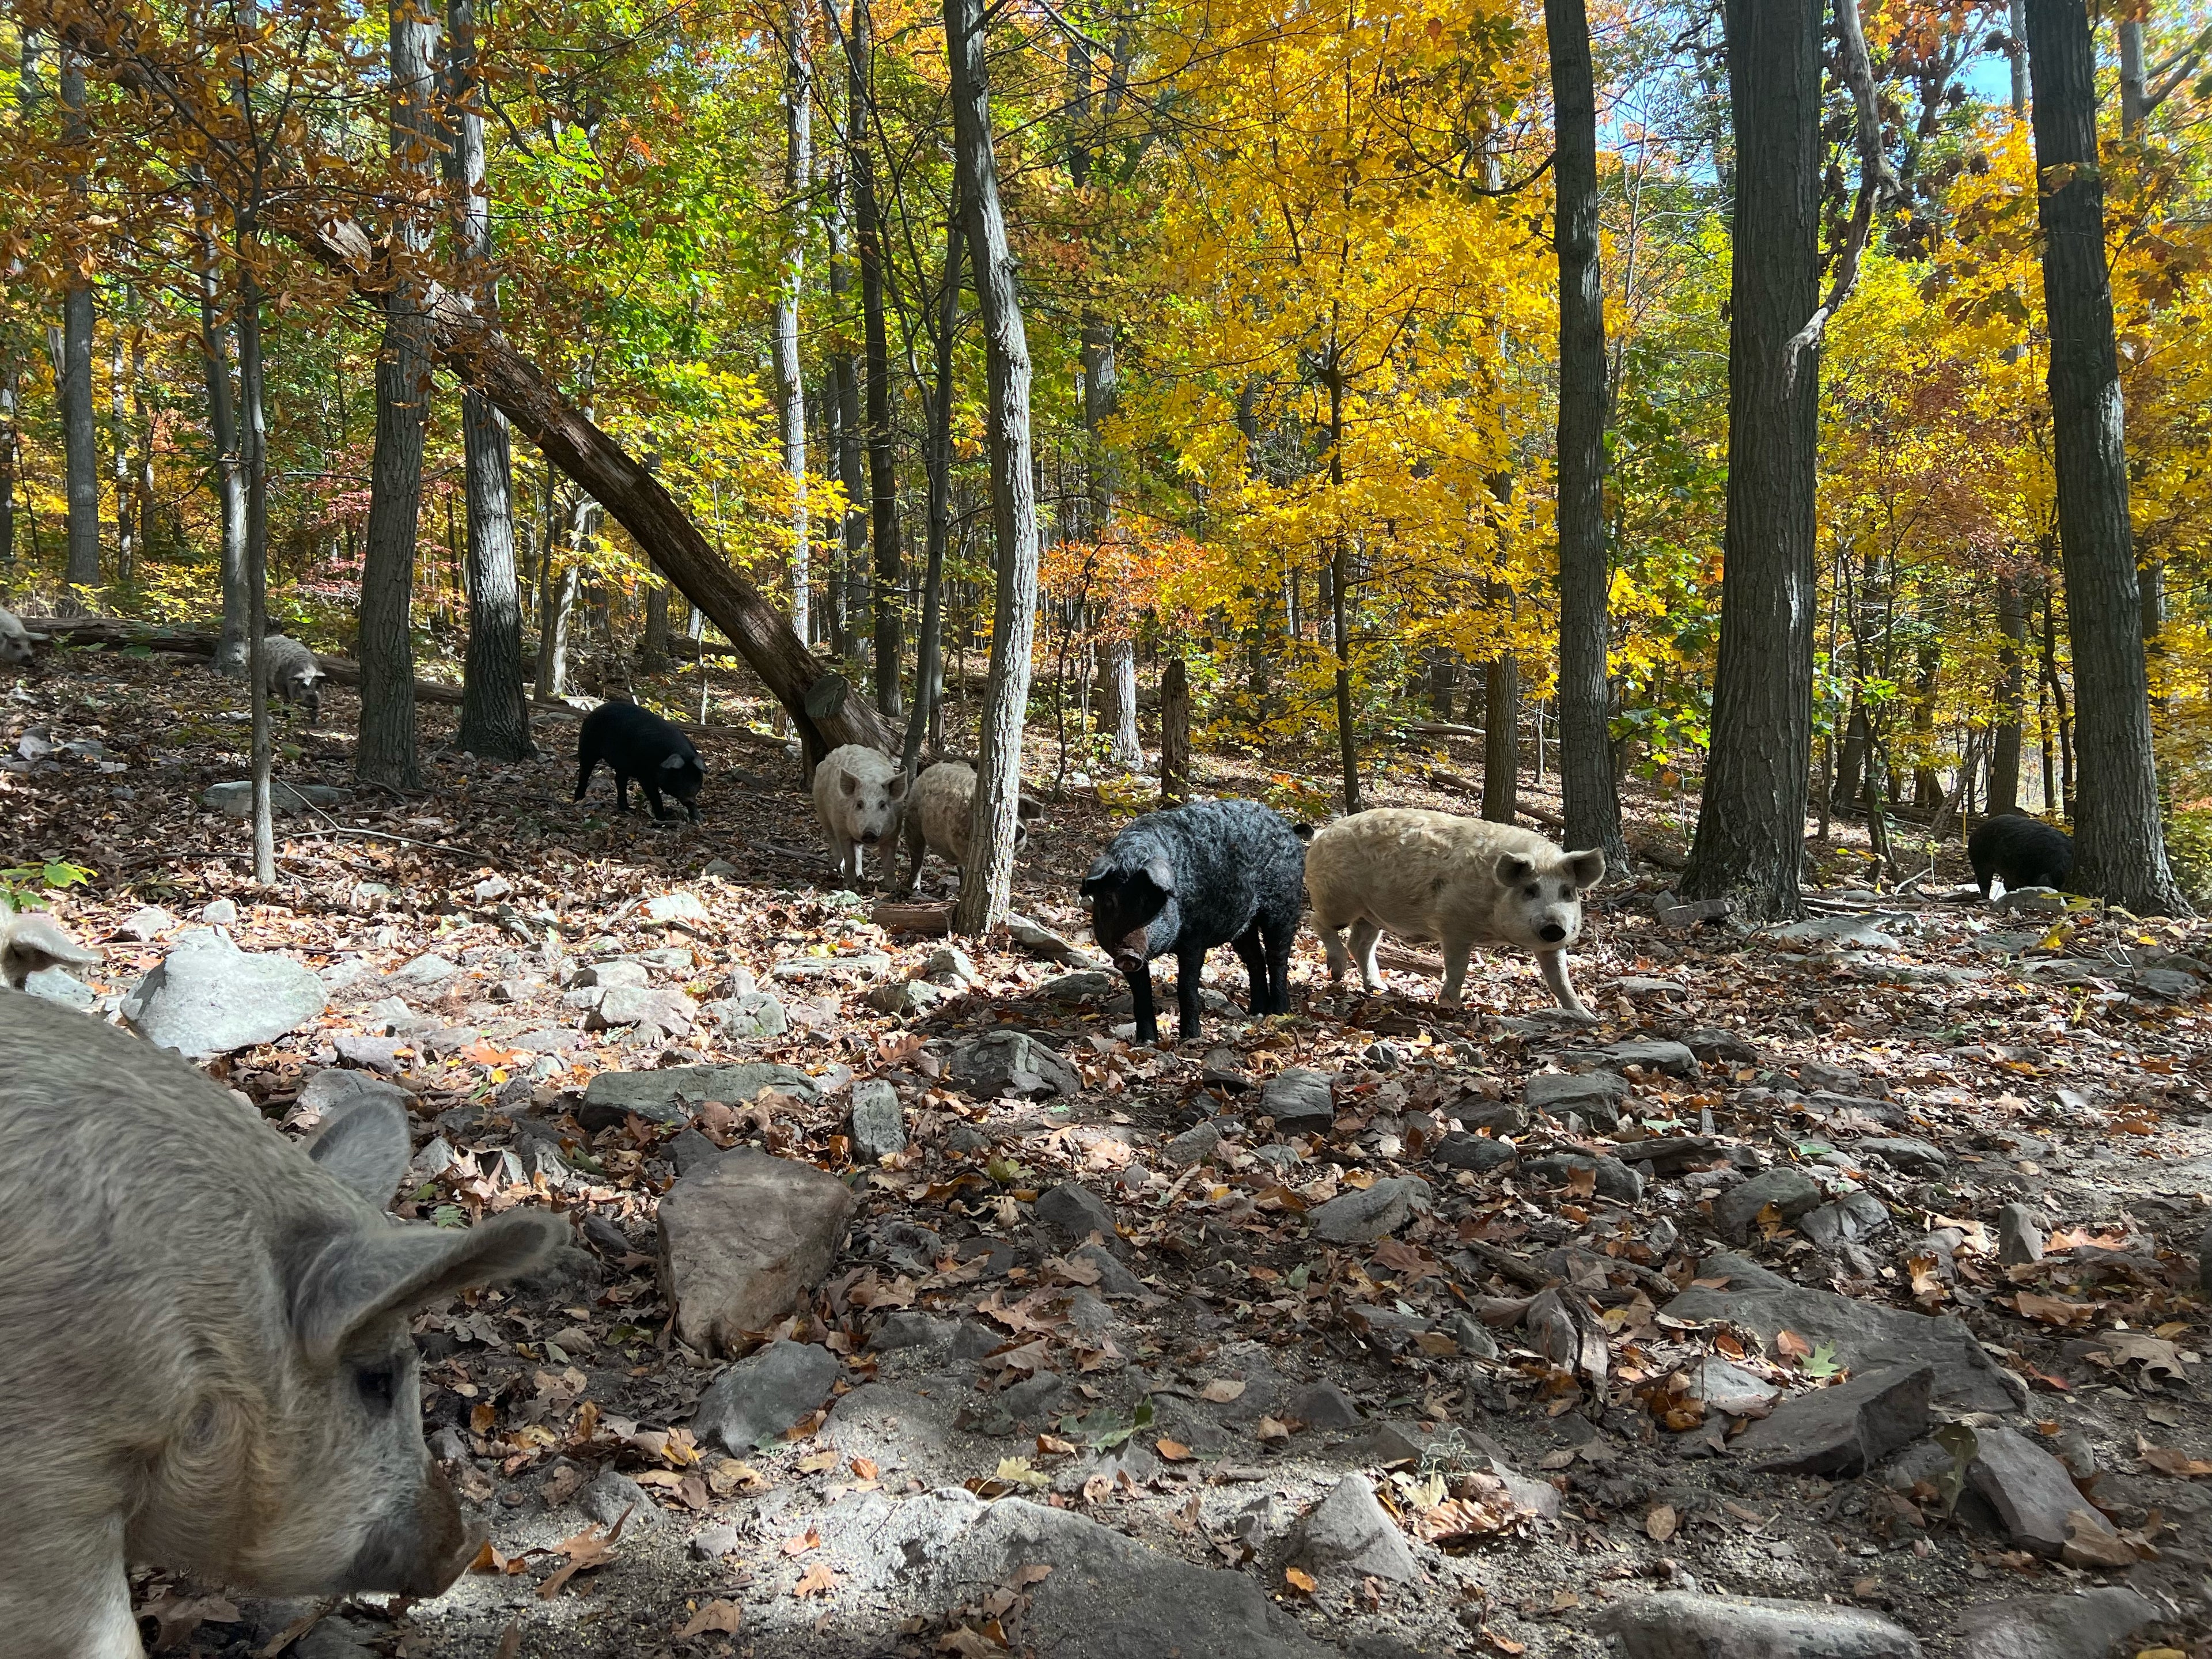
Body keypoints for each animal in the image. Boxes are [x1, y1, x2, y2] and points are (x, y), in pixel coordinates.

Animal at [575, 703, 703, 827]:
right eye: (679, 777)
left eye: (697, 779)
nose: (689, 799)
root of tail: (596, 710)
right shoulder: (644, 775)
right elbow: (655, 797)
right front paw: (662, 819)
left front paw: (697, 819)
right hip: (588, 746)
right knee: (585, 772)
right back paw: (578, 800)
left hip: (622, 765)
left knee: (619, 780)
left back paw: (627, 809)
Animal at [1079, 801, 1300, 1044]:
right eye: (1110, 898)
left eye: (1148, 899)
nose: (1128, 953)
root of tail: (1287, 826)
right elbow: (1141, 992)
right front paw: (1146, 1042)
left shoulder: (1195, 939)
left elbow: (1186, 985)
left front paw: (1190, 1038)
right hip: (1243, 926)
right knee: (1255, 959)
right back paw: (1257, 1013)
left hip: (1283, 906)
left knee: (1277, 957)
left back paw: (1279, 1012)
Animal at [1300, 809, 1601, 1022]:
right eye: (1530, 890)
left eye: (1567, 892)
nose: (1554, 927)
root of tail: (1320, 835)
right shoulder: (1454, 926)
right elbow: (1458, 968)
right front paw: (1452, 1006)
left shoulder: (1550, 947)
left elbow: (1560, 979)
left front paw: (1588, 1018)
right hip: (1339, 900)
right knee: (1317, 921)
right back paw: (1338, 974)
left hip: (1370, 914)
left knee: (1360, 944)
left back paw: (1380, 989)